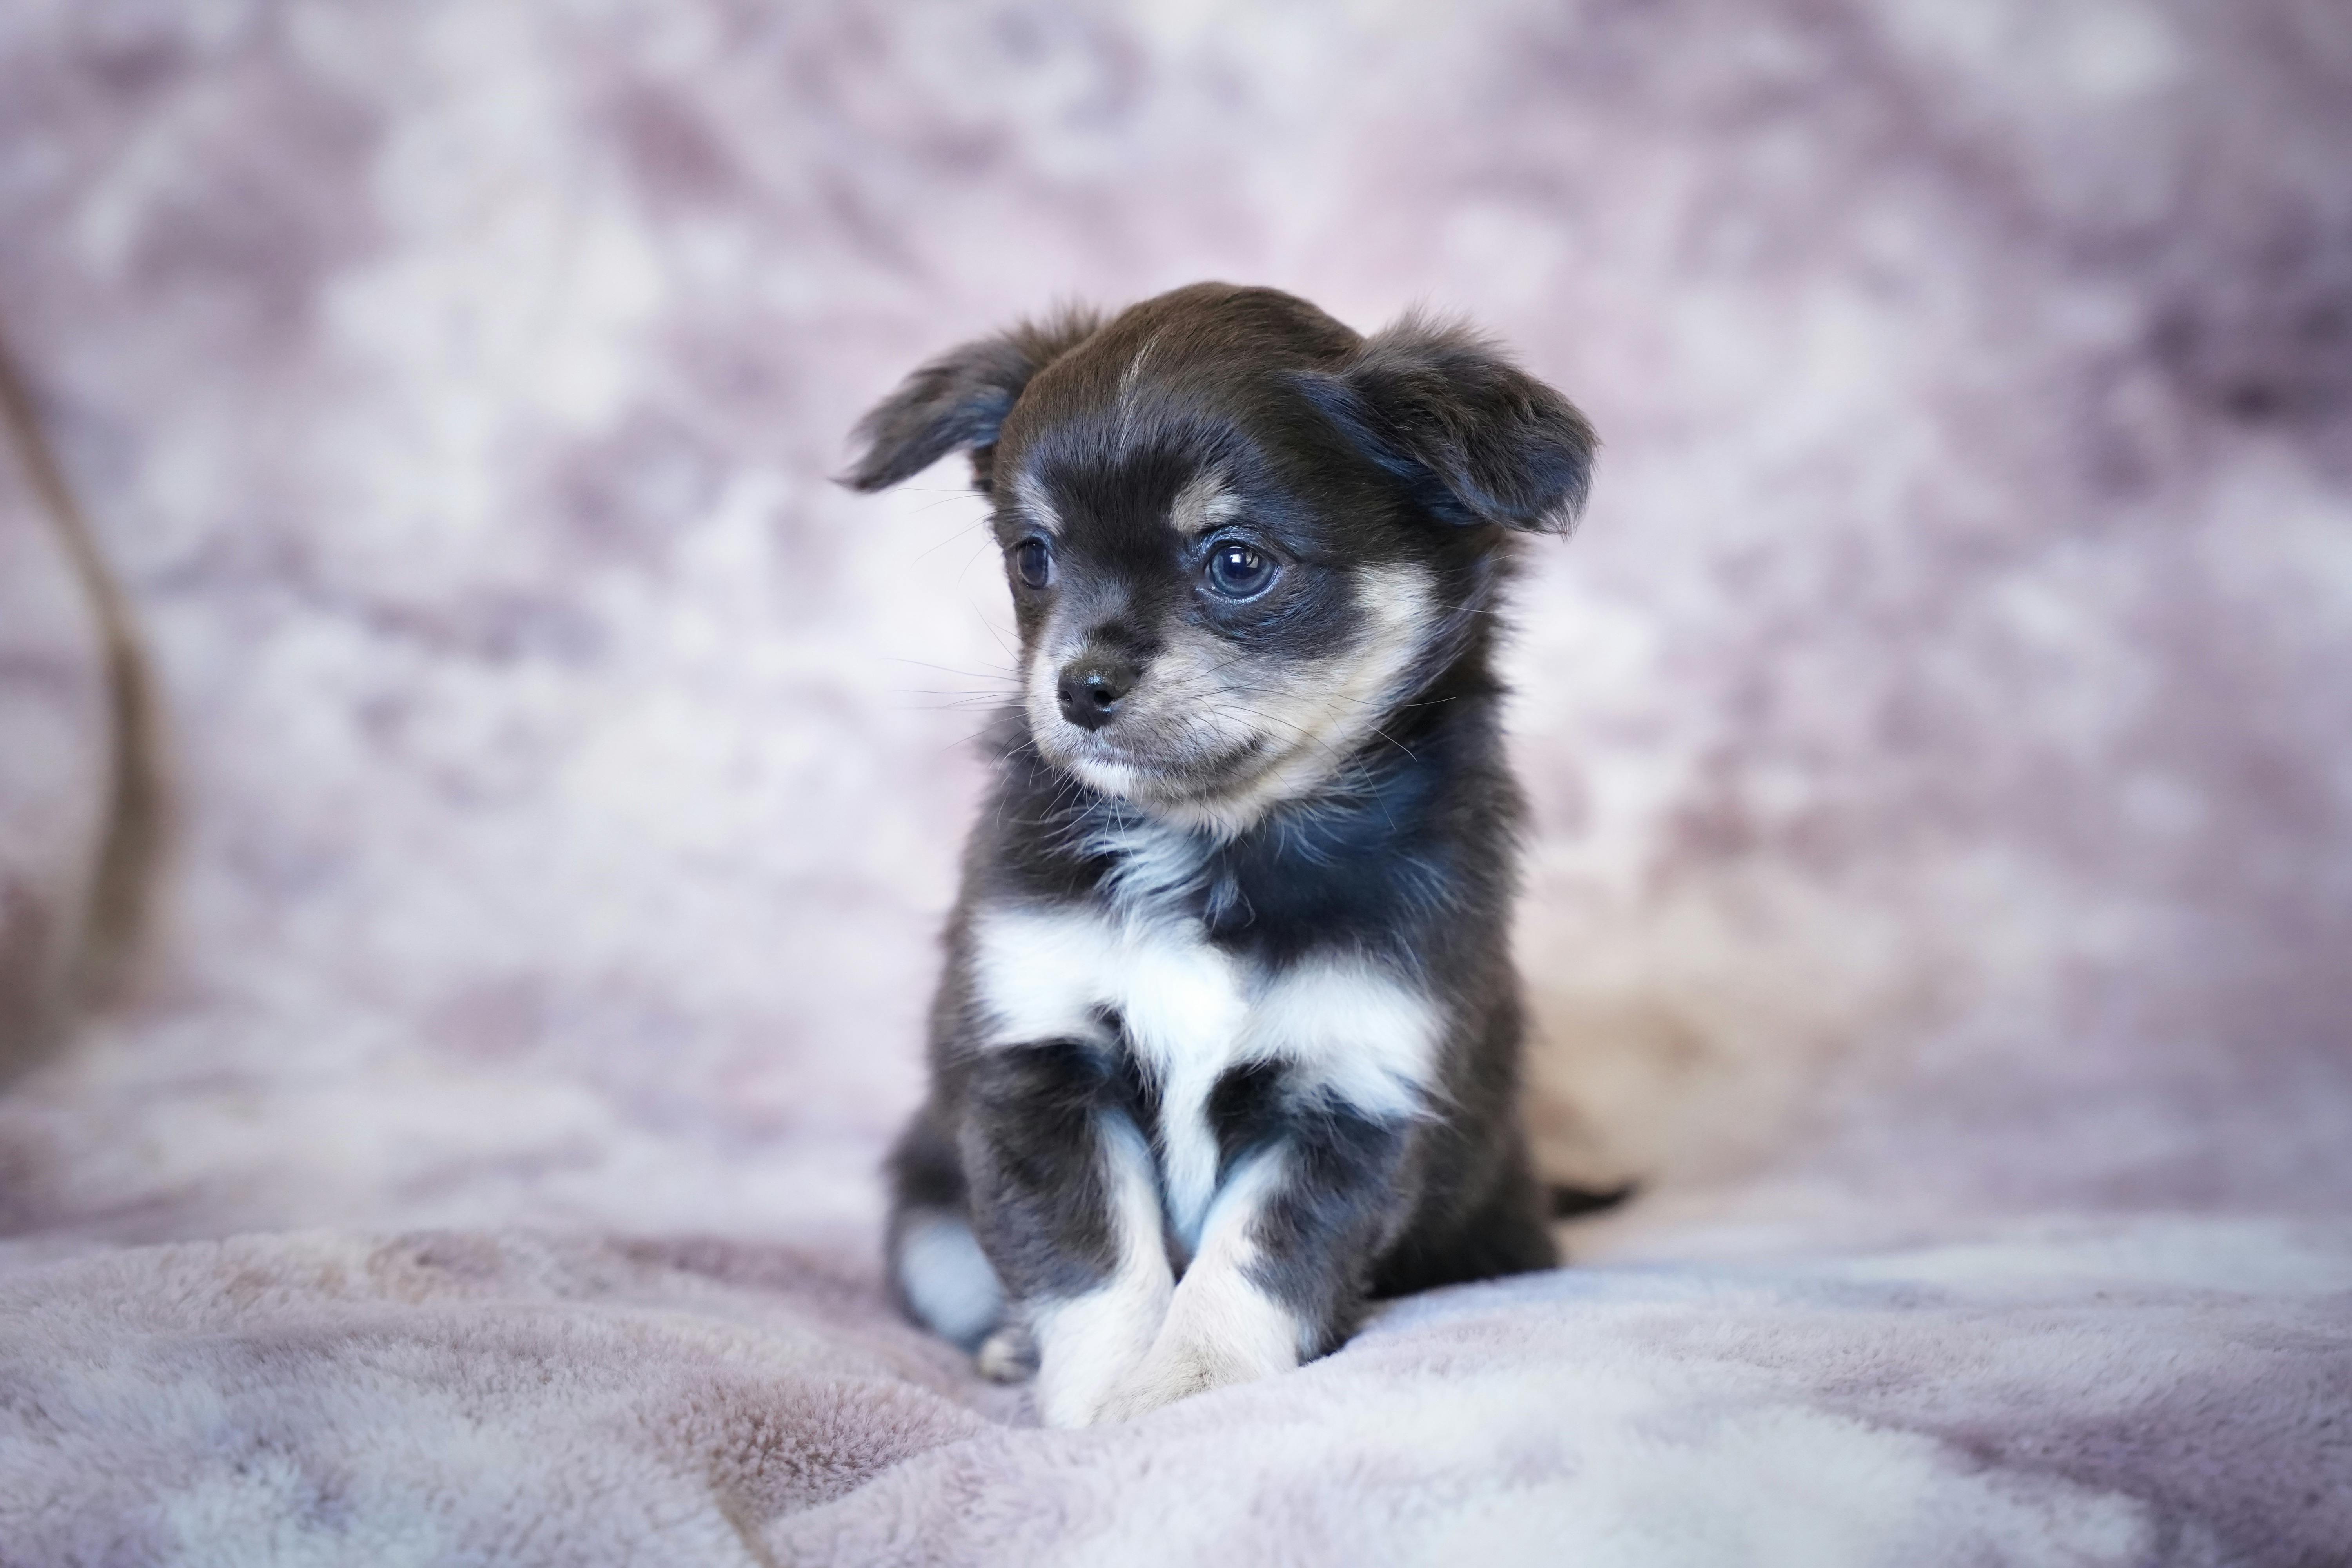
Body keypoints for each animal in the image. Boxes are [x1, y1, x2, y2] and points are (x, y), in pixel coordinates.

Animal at [847, 285, 1599, 1439]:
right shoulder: (1040, 1061)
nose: (1080, 685)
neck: (1214, 845)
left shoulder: (1354, 1093)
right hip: (927, 1224)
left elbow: (1255, 1265)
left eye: (1238, 562)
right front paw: (1105, 1400)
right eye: (1033, 558)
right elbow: (1094, 1260)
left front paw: (1189, 1392)